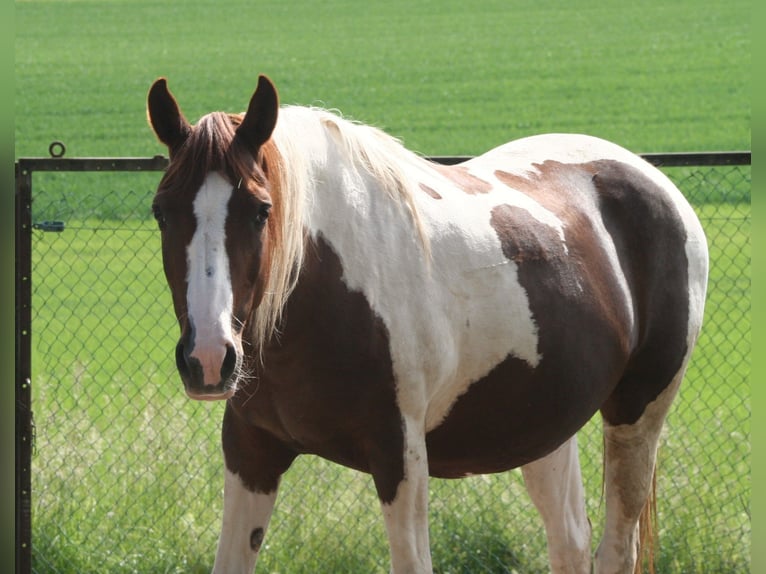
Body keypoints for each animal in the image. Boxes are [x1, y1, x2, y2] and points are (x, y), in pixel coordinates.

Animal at [147, 74, 712, 572]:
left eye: (261, 210)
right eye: (161, 212)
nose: (209, 358)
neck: (321, 292)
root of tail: (655, 182)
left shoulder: (400, 458)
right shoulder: (251, 451)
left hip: (637, 416)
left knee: (616, 548)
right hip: (545, 427)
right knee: (570, 542)